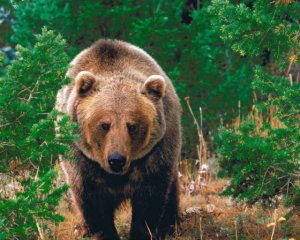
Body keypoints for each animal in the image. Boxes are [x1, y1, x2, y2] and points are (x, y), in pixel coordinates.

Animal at [56, 40, 182, 239]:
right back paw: (81, 228)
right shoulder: (81, 158)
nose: (116, 160)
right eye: (104, 124)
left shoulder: (156, 153)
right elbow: (91, 199)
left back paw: (170, 225)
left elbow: (150, 198)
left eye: (132, 125)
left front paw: (143, 231)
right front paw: (104, 232)